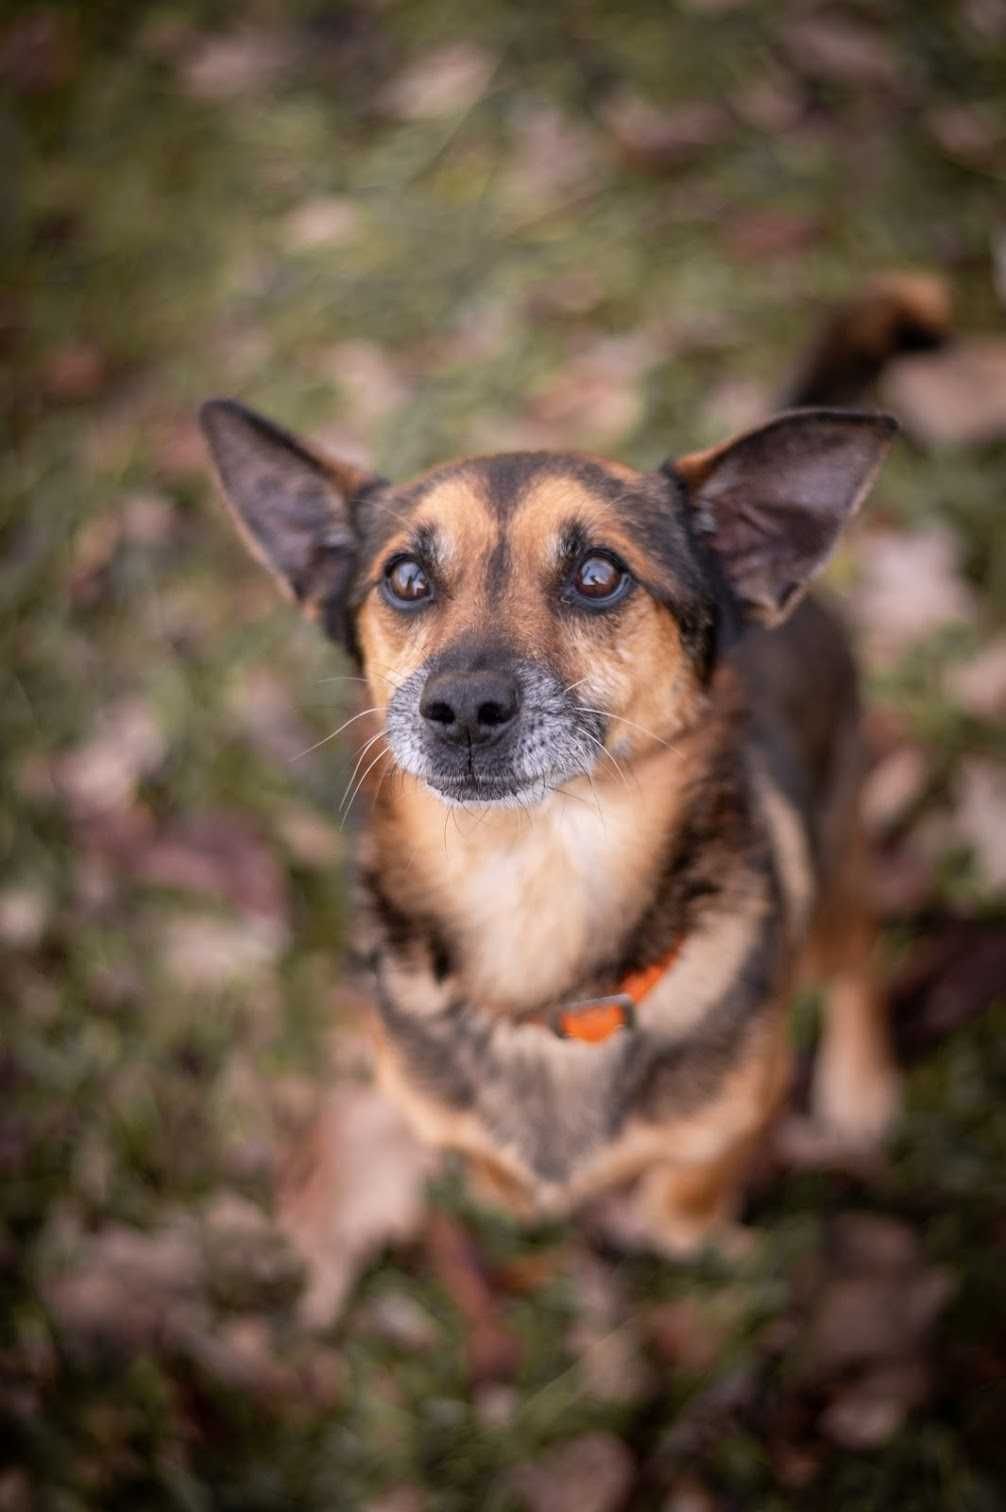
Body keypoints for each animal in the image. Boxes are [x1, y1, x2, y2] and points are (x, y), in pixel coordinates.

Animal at [196, 291, 919, 1251]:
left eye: (599, 573)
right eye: (407, 579)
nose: (464, 707)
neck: (530, 880)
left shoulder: (728, 1125)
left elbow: (688, 1194)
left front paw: (677, 1226)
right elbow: (494, 1171)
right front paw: (519, 1198)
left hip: (837, 853)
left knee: (860, 953)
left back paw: (860, 1086)